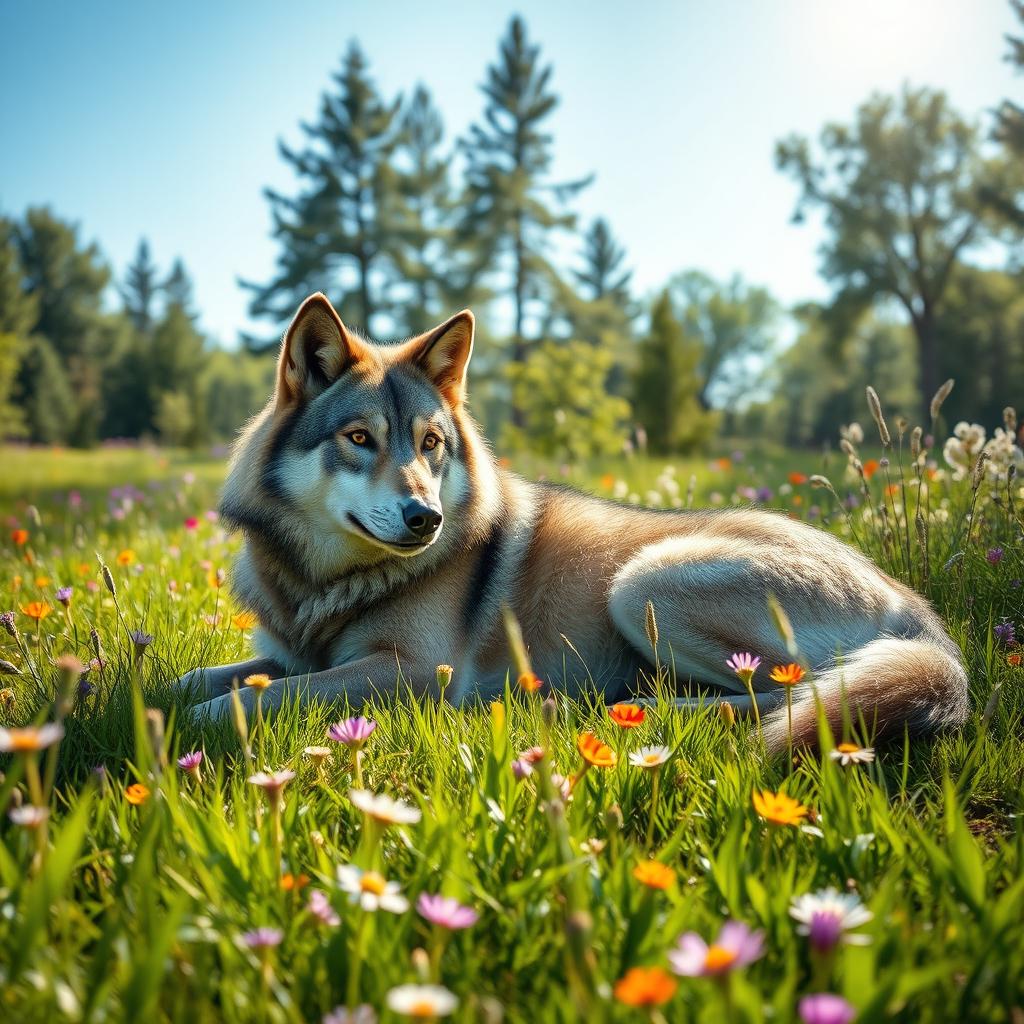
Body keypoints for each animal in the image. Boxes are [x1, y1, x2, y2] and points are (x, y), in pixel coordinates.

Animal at [180, 292, 970, 749]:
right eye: (359, 438)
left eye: (431, 444)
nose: (424, 517)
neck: (323, 582)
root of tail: (916, 611)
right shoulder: (286, 653)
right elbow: (196, 677)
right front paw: (159, 694)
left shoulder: (412, 672)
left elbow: (255, 701)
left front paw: (188, 726)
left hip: (644, 583)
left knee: (779, 695)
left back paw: (633, 707)